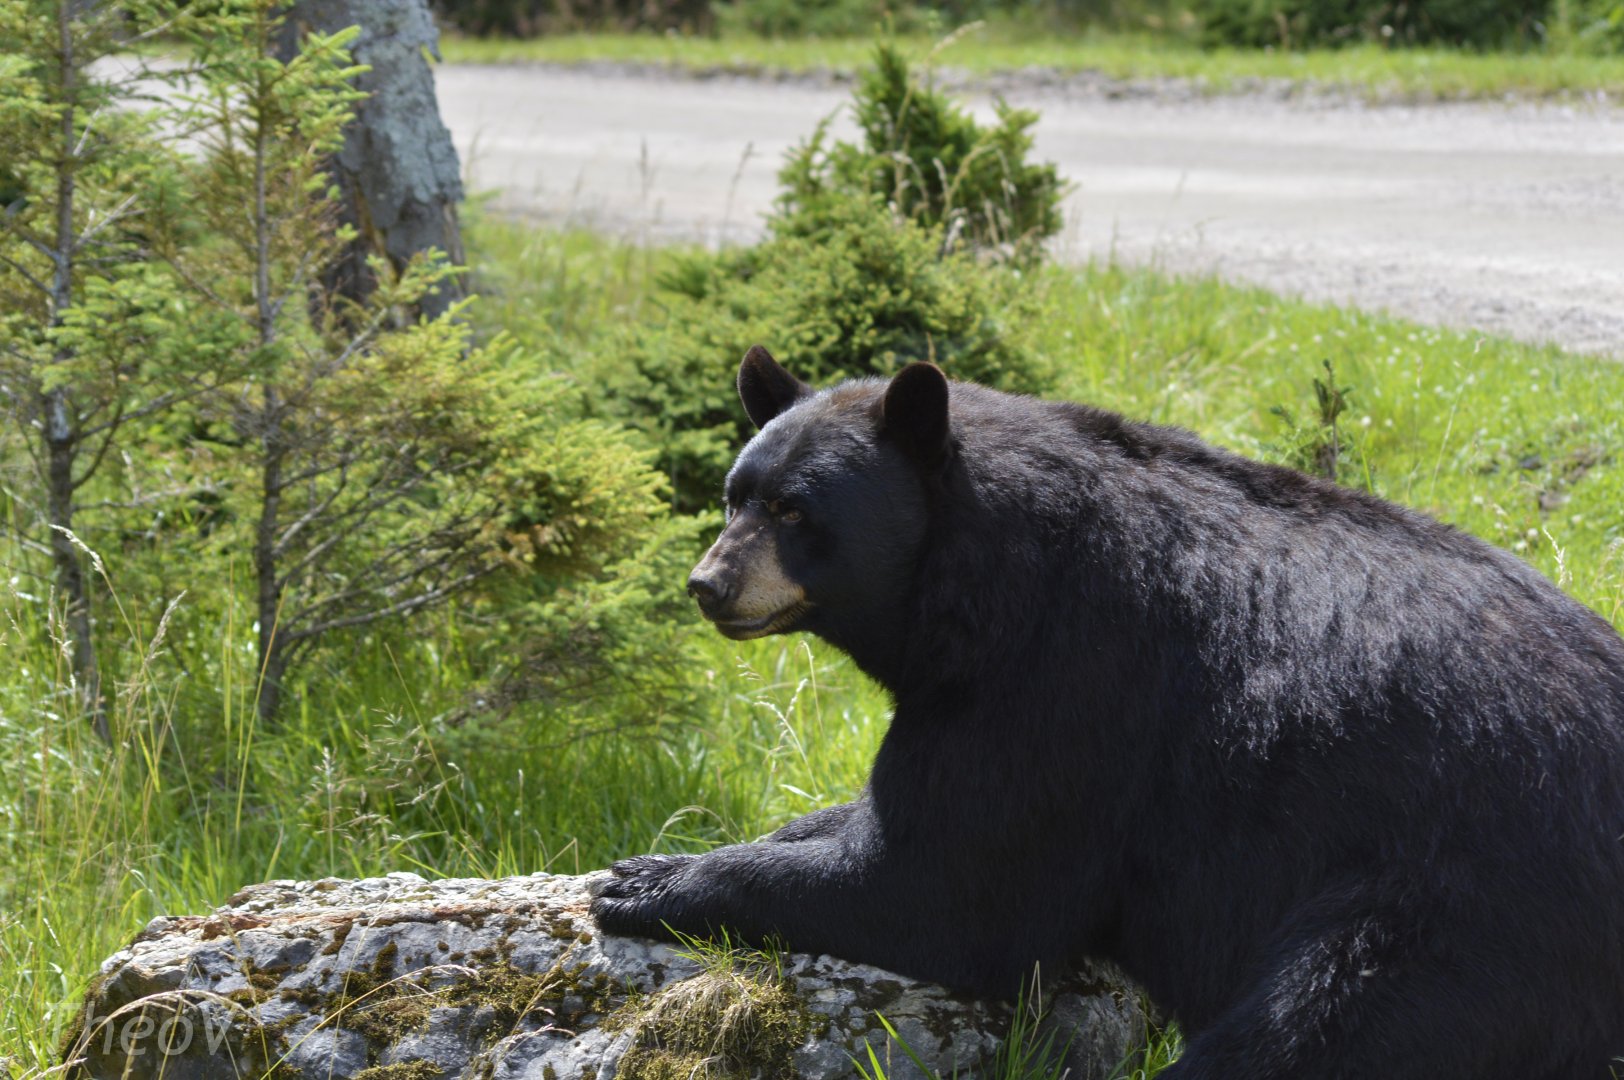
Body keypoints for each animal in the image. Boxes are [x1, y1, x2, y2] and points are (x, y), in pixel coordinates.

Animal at [590, 345, 1624, 1078]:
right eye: (735, 496)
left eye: (798, 512)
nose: (709, 585)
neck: (981, 583)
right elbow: (885, 821)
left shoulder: (1066, 687)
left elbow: (944, 885)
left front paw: (645, 882)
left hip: (1460, 917)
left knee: (1308, 1034)